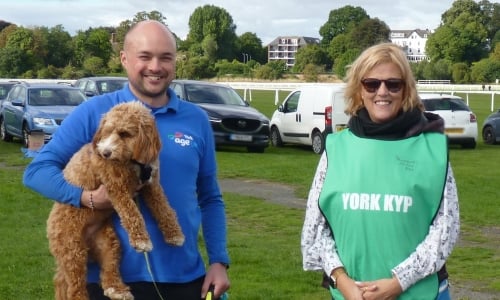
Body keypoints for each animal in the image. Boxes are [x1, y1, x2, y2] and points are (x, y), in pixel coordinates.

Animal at [47, 101, 186, 300]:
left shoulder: (151, 185)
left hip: (108, 243)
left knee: (108, 271)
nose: (105, 153)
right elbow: (132, 213)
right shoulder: (117, 189)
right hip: (72, 251)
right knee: (75, 288)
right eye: (107, 131)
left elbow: (164, 208)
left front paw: (174, 234)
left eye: (125, 134)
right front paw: (141, 240)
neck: (132, 162)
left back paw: (117, 290)